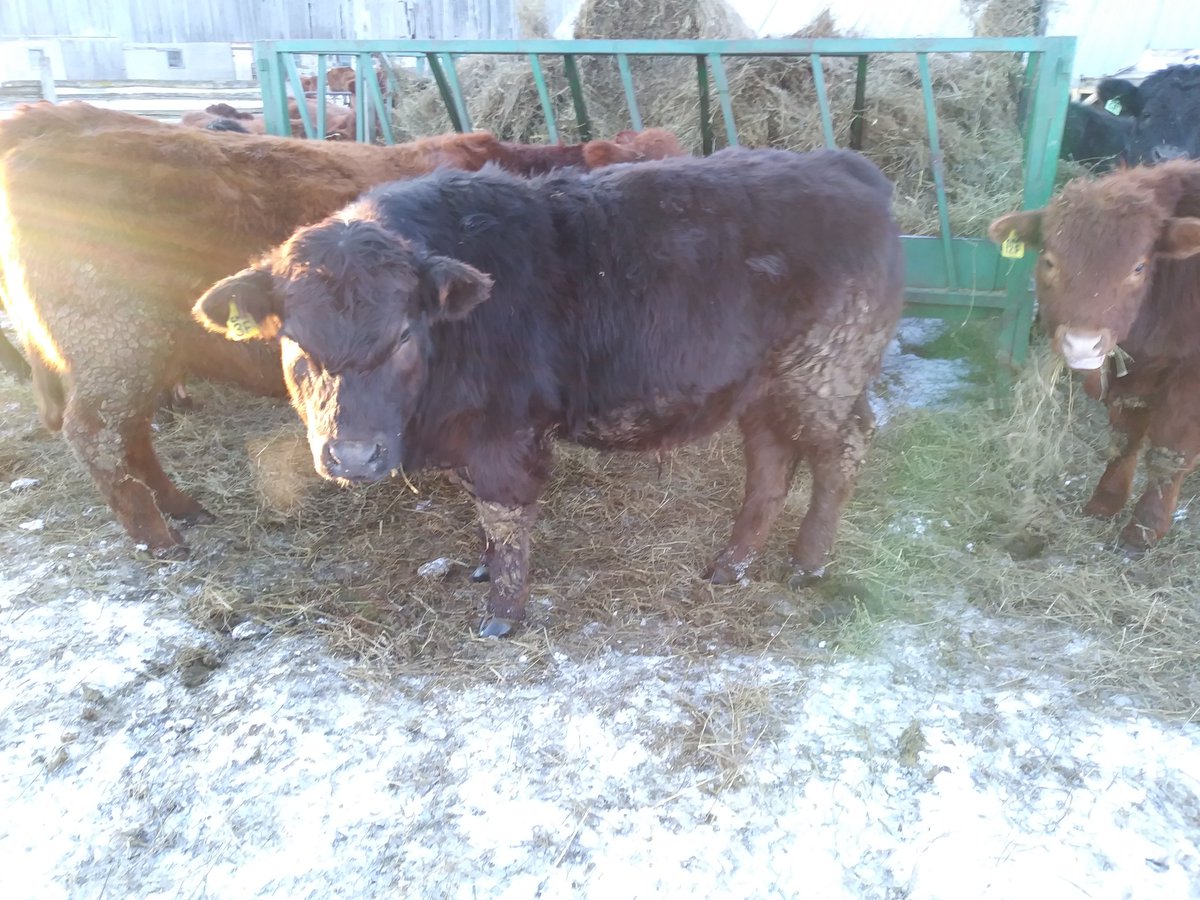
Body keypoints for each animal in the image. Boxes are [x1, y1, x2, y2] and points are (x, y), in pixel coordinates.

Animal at [0, 103, 688, 558]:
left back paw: (181, 507)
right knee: (96, 436)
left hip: (144, 353)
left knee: (131, 434)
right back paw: (158, 535)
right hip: (113, 348)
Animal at [193, 148, 905, 636]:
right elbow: (481, 515)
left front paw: (502, 611)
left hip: (825, 376)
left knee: (843, 453)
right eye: (295, 342)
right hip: (763, 389)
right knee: (771, 469)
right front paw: (482, 567)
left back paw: (808, 562)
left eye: (402, 335)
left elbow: (504, 517)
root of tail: (840, 163)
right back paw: (732, 563)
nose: (352, 456)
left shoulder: (504, 433)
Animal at [988, 159, 1200, 549]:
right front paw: (1106, 501)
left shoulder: (1189, 380)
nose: (1082, 344)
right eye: (1049, 261)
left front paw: (1145, 527)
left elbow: (1168, 452)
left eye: (1138, 267)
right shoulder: (1134, 374)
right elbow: (1124, 439)